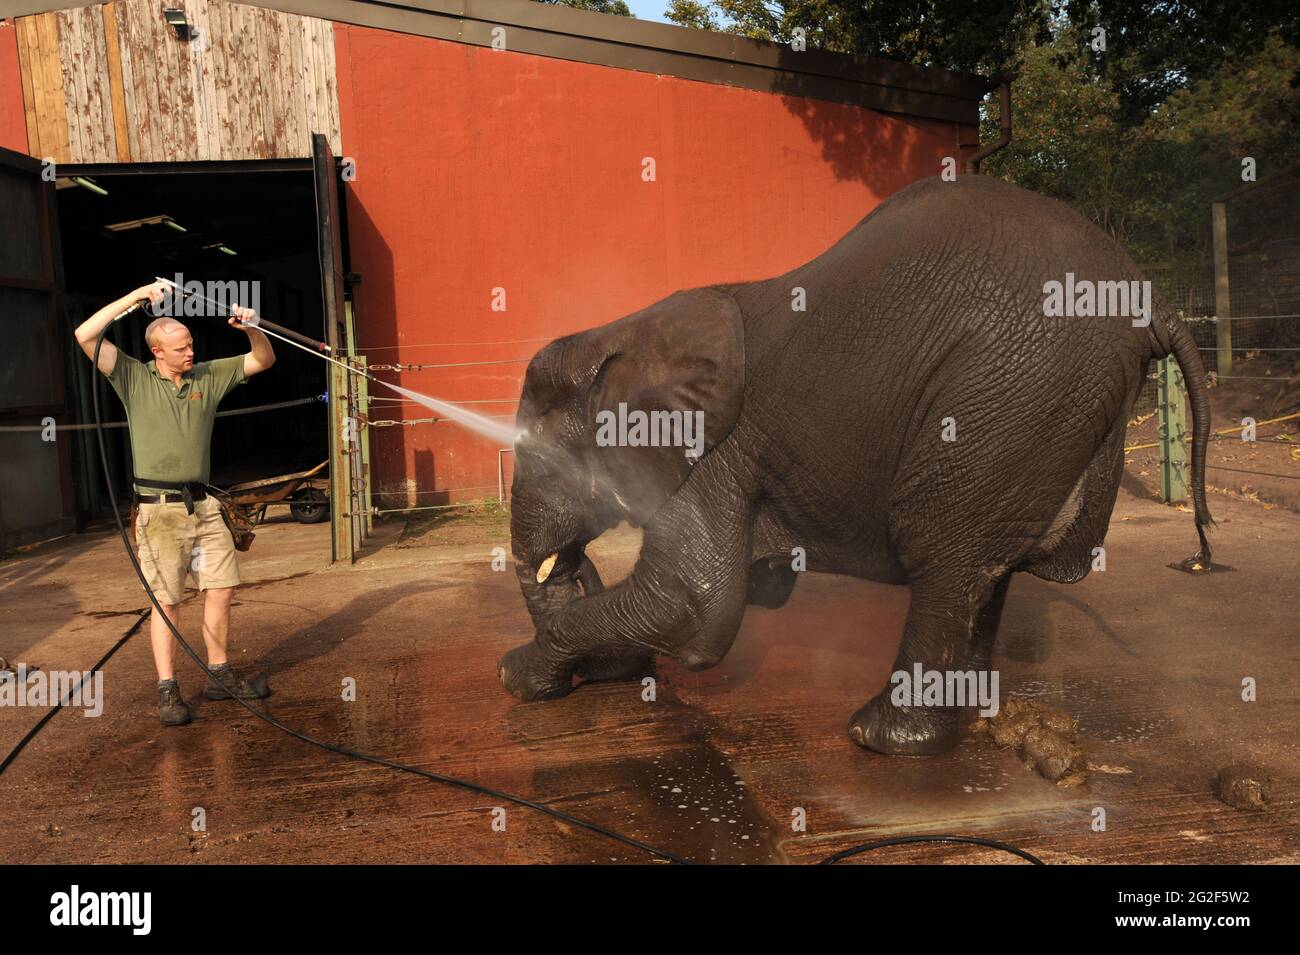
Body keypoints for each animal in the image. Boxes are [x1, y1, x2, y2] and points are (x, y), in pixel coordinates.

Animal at [496, 175, 1206, 758]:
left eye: (543, 453)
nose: (574, 561)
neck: (626, 332)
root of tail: (1151, 299)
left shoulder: (717, 452)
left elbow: (692, 605)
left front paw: (517, 674)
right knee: (984, 569)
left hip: (1008, 392)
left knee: (943, 552)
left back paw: (881, 739)